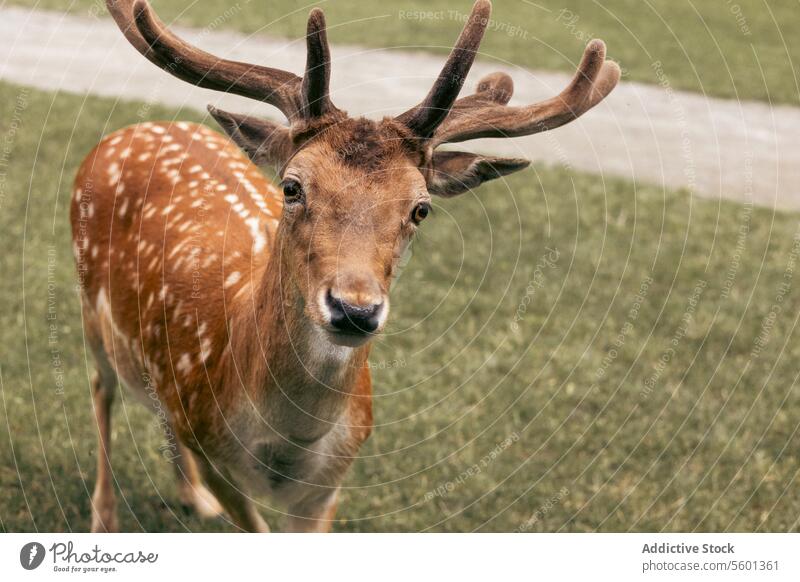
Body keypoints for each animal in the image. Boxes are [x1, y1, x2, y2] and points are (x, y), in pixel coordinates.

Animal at [70, 0, 620, 532]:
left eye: (421, 209)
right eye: (291, 187)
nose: (354, 310)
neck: (285, 446)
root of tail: (135, 128)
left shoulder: (330, 482)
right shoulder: (211, 448)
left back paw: (191, 498)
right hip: (90, 308)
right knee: (101, 389)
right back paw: (103, 518)